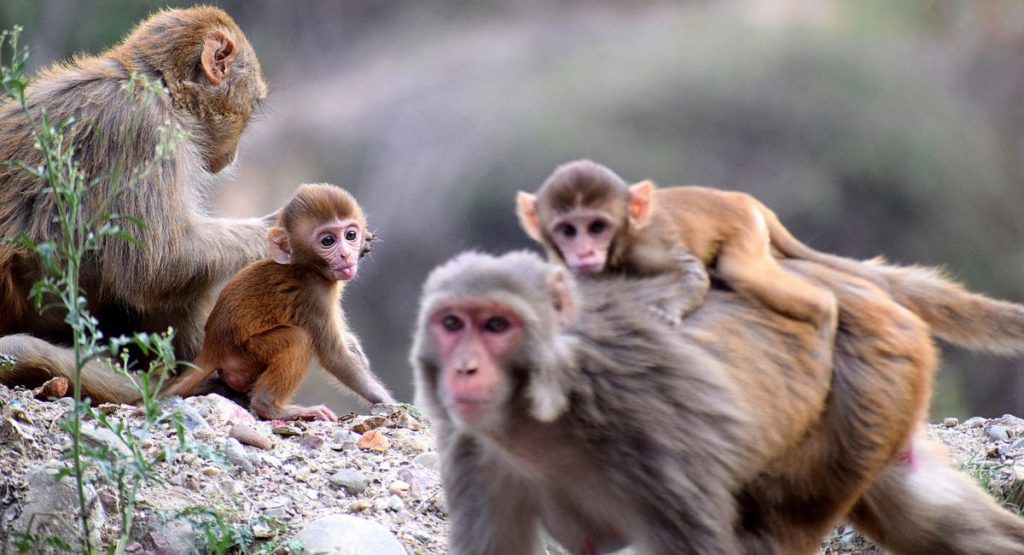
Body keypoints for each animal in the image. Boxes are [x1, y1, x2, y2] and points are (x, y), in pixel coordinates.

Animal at [0, 7, 272, 402]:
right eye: (251, 104)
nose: (233, 153)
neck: (156, 86)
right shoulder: (146, 131)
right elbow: (155, 265)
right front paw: (280, 232)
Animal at [159, 184, 396, 421]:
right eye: (327, 241)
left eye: (351, 235)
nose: (346, 255)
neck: (307, 269)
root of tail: (211, 350)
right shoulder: (313, 297)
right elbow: (335, 358)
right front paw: (389, 401)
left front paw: (356, 350)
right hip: (246, 353)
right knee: (298, 338)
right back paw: (271, 406)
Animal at [411, 250, 1024, 554]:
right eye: (451, 323)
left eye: (496, 326)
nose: (464, 369)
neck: (544, 414)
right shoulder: (475, 453)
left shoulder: (649, 433)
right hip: (883, 404)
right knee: (933, 517)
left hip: (861, 396)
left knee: (772, 525)